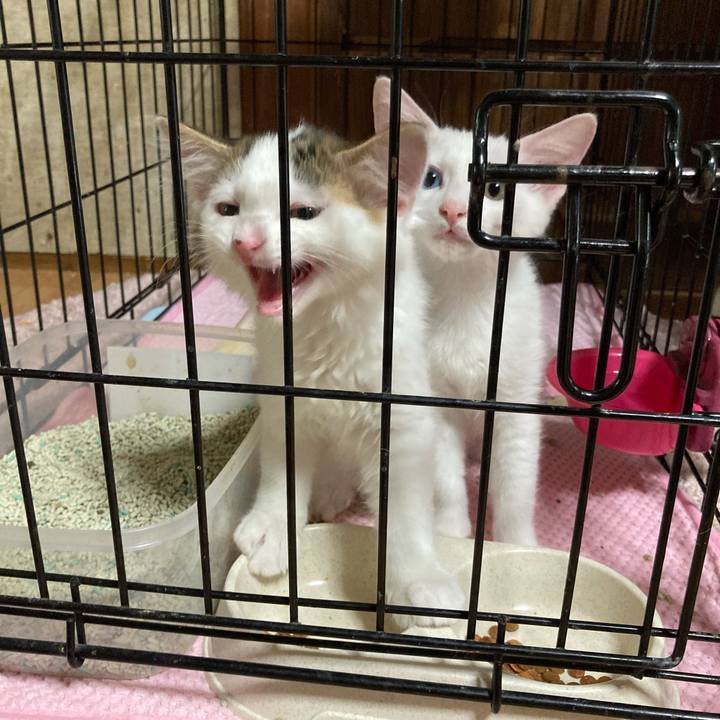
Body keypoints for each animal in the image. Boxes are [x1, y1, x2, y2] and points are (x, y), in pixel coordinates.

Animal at [156, 117, 466, 625]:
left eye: (302, 213)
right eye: (228, 210)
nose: (245, 241)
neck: (321, 326)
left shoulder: (402, 414)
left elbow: (403, 506)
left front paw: (421, 579)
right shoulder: (281, 400)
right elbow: (282, 467)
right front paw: (273, 527)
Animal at [373, 77, 597, 546]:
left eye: (494, 189)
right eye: (432, 178)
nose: (453, 210)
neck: (464, 296)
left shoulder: (516, 399)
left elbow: (516, 479)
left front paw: (517, 544)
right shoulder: (433, 399)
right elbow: (444, 473)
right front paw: (453, 532)